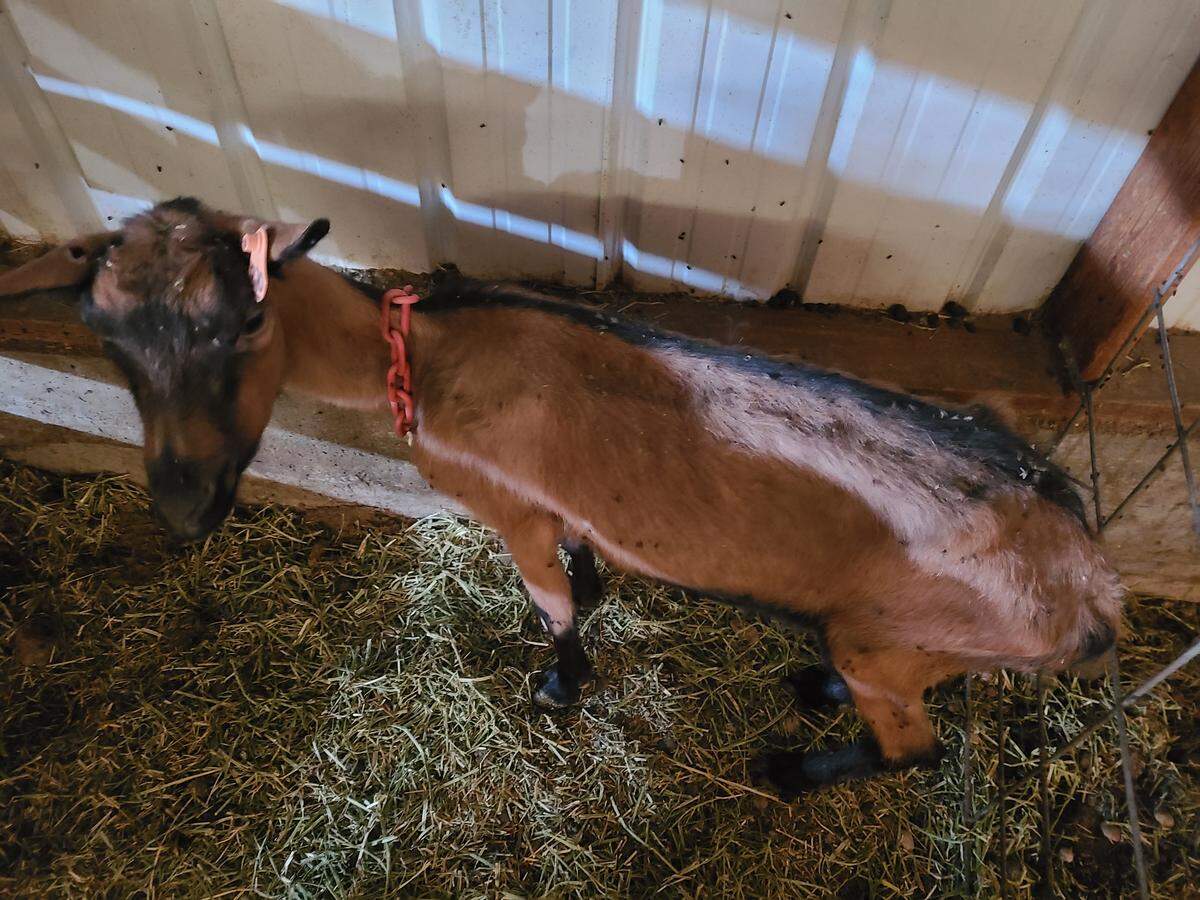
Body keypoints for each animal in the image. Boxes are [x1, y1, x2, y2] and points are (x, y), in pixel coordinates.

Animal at [0, 198, 1122, 795]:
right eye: (106, 338)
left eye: (244, 324)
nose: (184, 508)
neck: (425, 352)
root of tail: (1096, 596)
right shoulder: (562, 509)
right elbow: (585, 570)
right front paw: (594, 605)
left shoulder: (516, 515)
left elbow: (551, 606)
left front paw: (558, 687)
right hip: (902, 642)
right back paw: (815, 691)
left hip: (895, 641)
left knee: (915, 751)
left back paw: (791, 768)